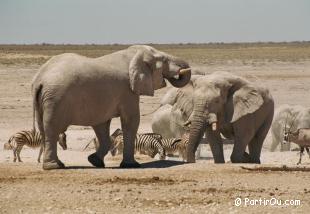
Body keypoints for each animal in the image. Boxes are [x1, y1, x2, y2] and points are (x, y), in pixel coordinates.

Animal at [32, 45, 190, 169]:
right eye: (164, 60)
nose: (182, 70)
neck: (133, 53)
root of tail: (40, 79)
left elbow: (102, 126)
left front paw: (95, 161)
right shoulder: (127, 90)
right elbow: (131, 120)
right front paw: (131, 165)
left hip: (44, 100)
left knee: (44, 130)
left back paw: (57, 164)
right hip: (55, 99)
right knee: (52, 130)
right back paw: (53, 166)